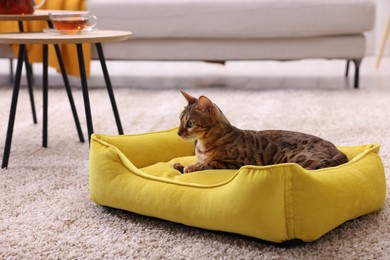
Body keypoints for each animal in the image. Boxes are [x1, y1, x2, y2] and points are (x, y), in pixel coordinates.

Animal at [172, 90, 348, 174]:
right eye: (180, 120)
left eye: (190, 123)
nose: (178, 133)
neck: (202, 145)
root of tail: (338, 151)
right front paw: (180, 165)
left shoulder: (233, 163)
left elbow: (209, 163)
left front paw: (191, 167)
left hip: (297, 157)